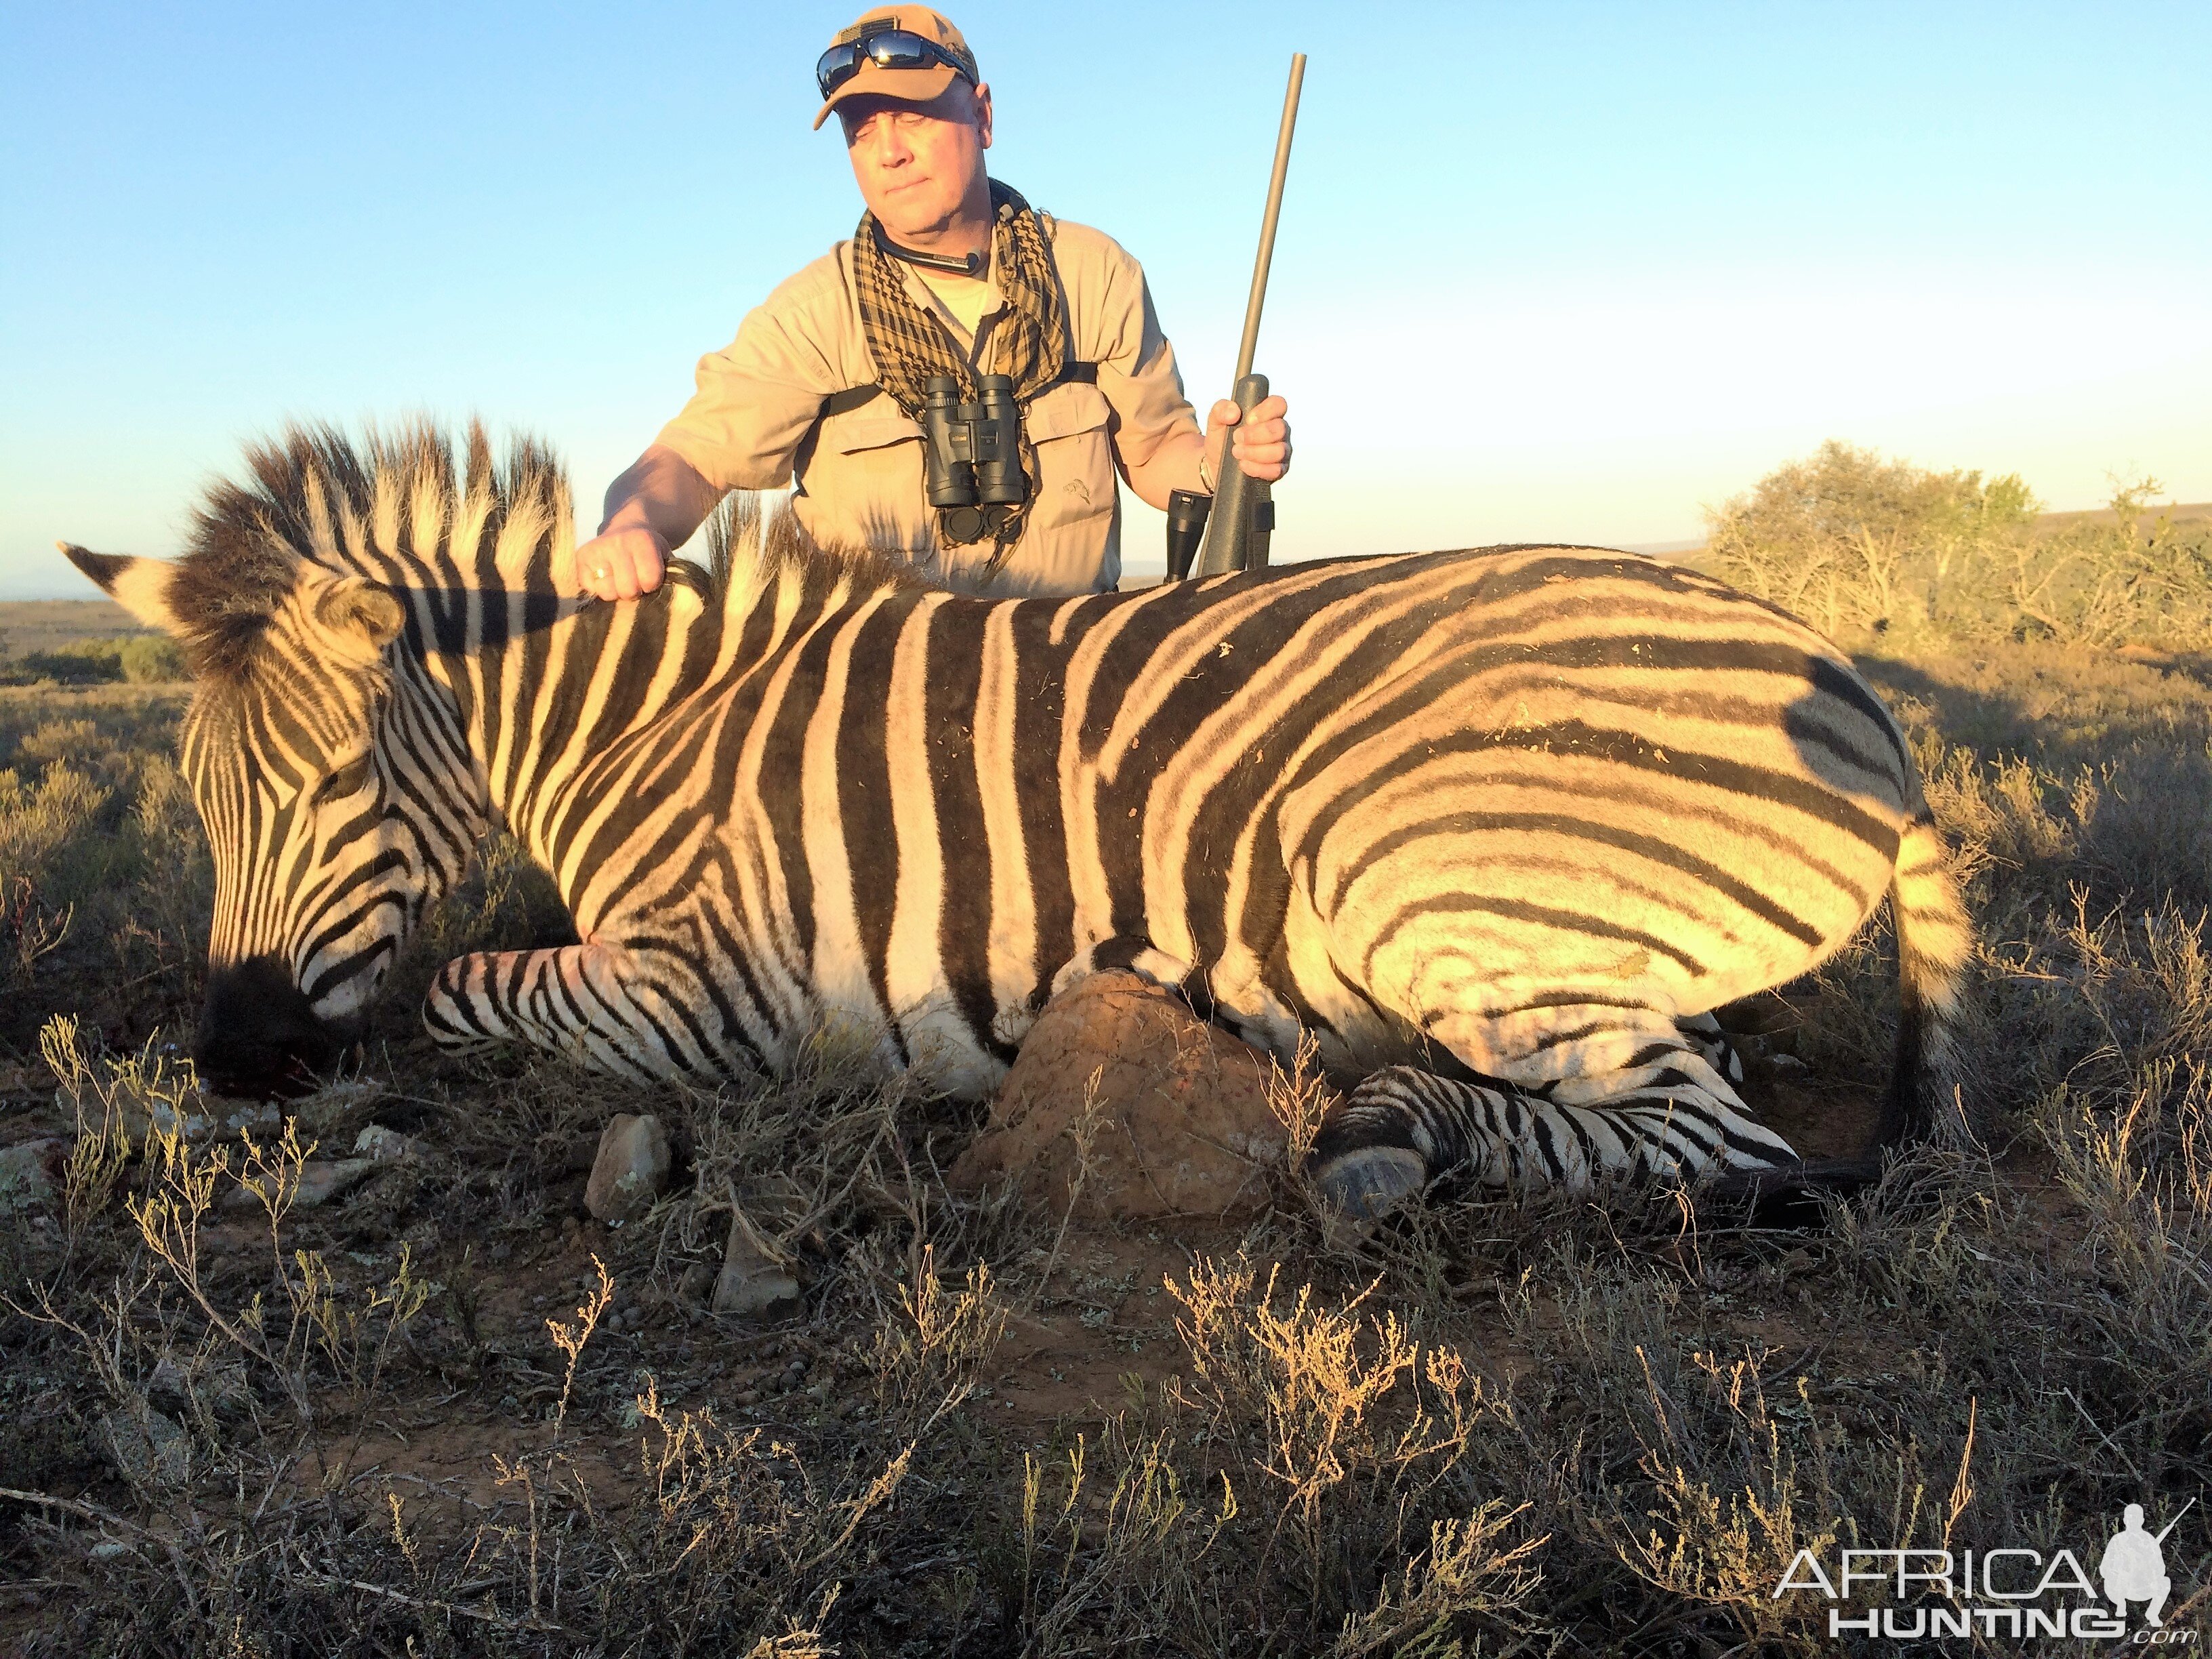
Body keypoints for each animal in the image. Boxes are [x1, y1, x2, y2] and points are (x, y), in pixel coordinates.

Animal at [64, 422, 1973, 1212]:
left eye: (330, 786)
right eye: (196, 798)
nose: (233, 1054)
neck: (654, 733)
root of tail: (1854, 697)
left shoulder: (715, 1001)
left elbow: (454, 985)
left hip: (1425, 876)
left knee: (1724, 1150)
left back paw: (1384, 1141)